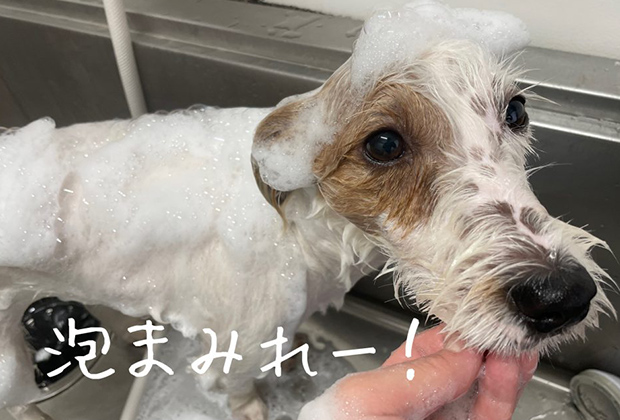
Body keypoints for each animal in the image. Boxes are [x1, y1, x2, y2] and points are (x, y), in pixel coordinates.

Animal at [0, 1, 615, 419]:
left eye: (516, 111)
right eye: (384, 143)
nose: (560, 295)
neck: (305, 236)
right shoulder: (236, 348)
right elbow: (239, 389)